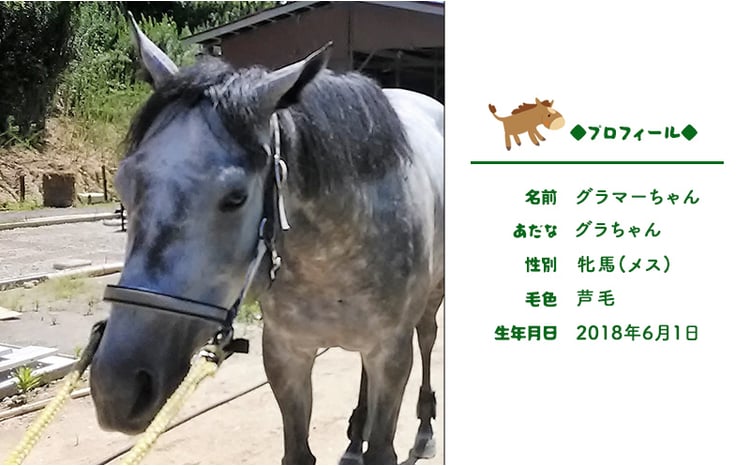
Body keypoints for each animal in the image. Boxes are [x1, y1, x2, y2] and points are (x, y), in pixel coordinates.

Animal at [88, 14, 444, 465]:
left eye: (236, 197)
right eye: (124, 182)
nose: (117, 388)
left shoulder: (392, 353)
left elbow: (382, 446)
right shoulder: (285, 355)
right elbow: (297, 449)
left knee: (429, 337)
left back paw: (425, 428)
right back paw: (353, 438)